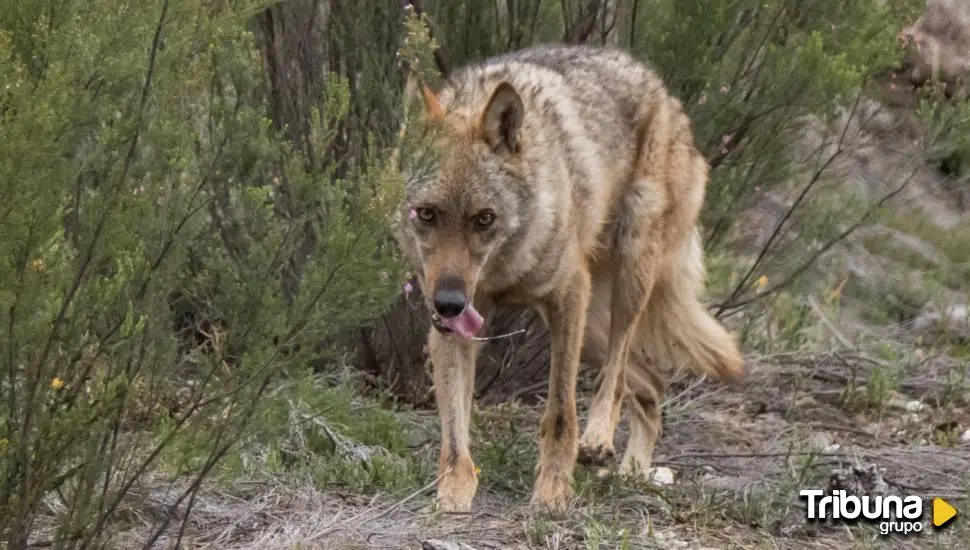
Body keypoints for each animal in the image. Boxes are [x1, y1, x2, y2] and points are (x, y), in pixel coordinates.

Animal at [394, 43, 740, 512]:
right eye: (426, 214)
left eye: (484, 219)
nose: (449, 303)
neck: (503, 270)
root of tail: (666, 94)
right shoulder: (453, 327)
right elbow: (453, 432)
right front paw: (453, 494)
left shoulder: (566, 296)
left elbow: (560, 412)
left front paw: (553, 492)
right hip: (591, 329)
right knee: (652, 384)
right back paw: (633, 472)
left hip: (625, 278)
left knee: (616, 376)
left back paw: (599, 439)